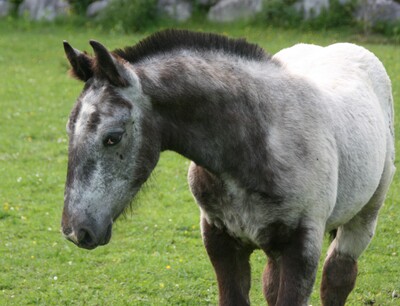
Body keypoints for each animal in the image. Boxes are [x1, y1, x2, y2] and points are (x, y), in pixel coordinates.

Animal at [61, 29, 396, 306]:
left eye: (112, 137)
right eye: (69, 129)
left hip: (364, 216)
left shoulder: (302, 248)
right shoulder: (220, 240)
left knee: (337, 276)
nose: (76, 230)